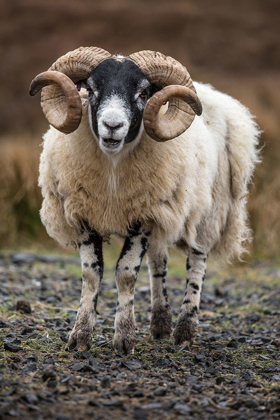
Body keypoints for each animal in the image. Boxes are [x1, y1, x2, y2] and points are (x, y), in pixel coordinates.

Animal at [29, 46, 260, 354]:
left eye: (143, 92)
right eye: (91, 89)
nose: (112, 125)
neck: (113, 169)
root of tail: (211, 92)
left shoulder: (143, 218)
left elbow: (126, 273)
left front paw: (125, 338)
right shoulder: (85, 215)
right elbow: (91, 274)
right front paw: (80, 336)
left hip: (209, 212)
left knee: (197, 265)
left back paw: (185, 330)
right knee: (158, 264)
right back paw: (160, 324)